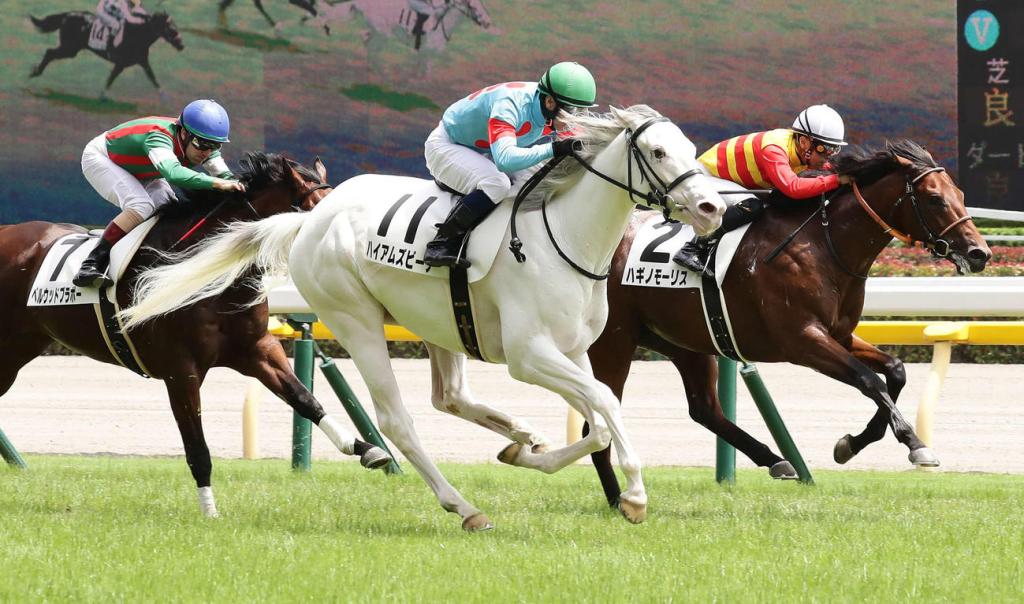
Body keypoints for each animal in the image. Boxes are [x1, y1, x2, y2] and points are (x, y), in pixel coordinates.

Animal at [0, 152, 391, 517]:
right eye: (320, 213)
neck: (210, 270)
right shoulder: (180, 370)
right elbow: (197, 447)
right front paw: (210, 511)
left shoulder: (257, 349)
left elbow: (305, 399)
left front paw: (368, 450)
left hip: (20, 349)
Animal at [29, 11, 184, 96]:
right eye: (172, 29)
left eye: (176, 26)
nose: (181, 45)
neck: (136, 34)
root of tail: (67, 15)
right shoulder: (121, 63)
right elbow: (111, 78)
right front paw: (103, 96)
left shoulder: (142, 61)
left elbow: (153, 77)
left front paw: (165, 98)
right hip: (69, 48)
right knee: (49, 52)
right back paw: (35, 72)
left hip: (71, 49)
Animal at [119, 105, 727, 530]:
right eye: (658, 151)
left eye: (689, 147)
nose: (711, 209)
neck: (563, 237)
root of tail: (310, 220)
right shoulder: (529, 355)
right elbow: (604, 406)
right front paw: (635, 497)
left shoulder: (573, 349)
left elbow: (598, 421)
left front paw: (530, 452)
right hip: (357, 320)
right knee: (398, 422)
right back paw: (463, 505)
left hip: (438, 322)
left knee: (449, 397)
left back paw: (515, 434)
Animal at [584, 140, 992, 507]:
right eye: (935, 199)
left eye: (959, 193)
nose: (980, 253)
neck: (825, 245)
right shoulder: (802, 340)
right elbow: (869, 381)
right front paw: (914, 443)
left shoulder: (839, 334)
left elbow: (894, 371)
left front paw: (852, 444)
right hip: (613, 342)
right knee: (600, 419)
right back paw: (617, 499)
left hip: (684, 341)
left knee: (704, 409)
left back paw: (776, 460)